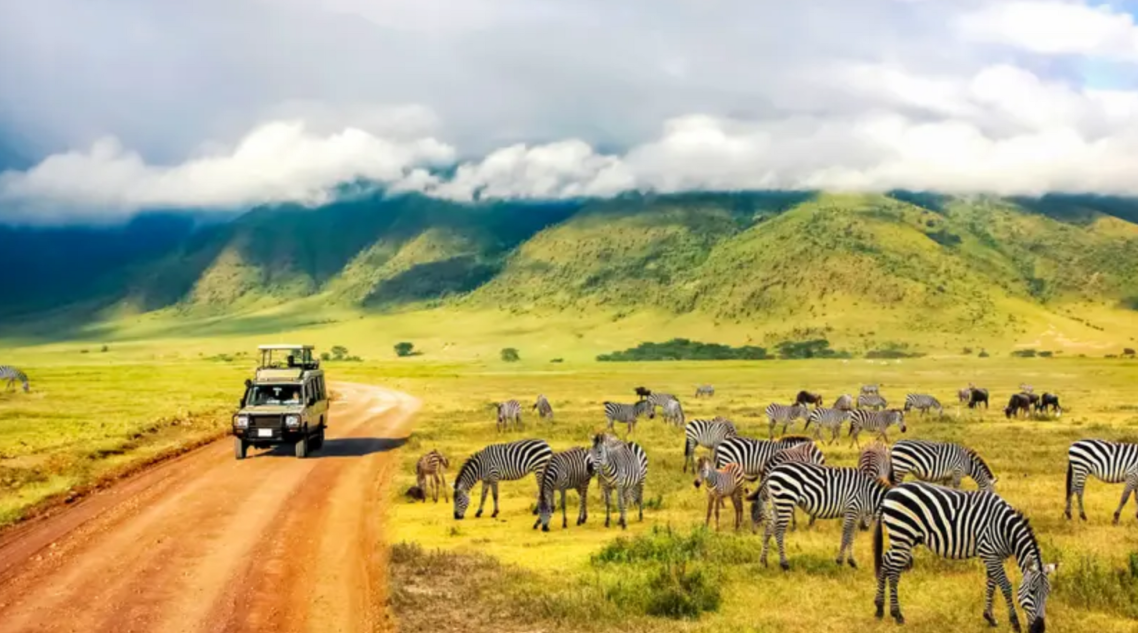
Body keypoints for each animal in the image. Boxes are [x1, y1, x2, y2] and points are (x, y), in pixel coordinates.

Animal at [759, 462, 890, 570]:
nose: (864, 528)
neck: (868, 495)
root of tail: (773, 471)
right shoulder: (851, 509)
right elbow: (846, 535)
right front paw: (840, 561)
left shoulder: (855, 513)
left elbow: (851, 536)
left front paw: (852, 561)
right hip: (786, 500)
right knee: (779, 531)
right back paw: (784, 564)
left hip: (777, 504)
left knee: (768, 529)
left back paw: (764, 561)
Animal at [874, 482, 1057, 631]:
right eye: (1032, 591)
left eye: (1048, 592)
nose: (1039, 629)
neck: (1005, 529)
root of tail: (890, 492)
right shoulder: (989, 552)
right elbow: (1004, 585)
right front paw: (1014, 622)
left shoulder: (994, 555)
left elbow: (991, 584)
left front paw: (989, 617)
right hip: (902, 534)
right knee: (894, 572)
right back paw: (897, 614)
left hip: (903, 538)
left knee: (886, 561)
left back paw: (879, 608)